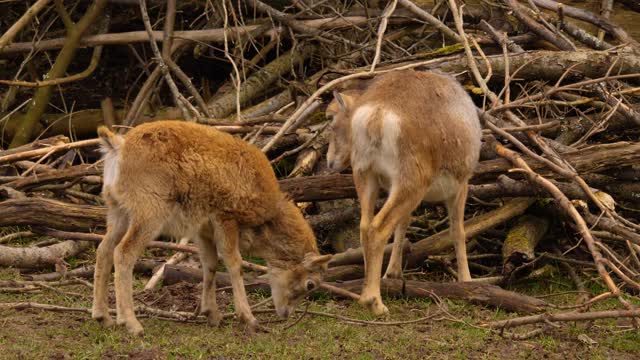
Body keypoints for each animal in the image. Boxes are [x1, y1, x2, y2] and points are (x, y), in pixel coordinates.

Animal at [92, 120, 332, 334]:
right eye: (311, 284)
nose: (286, 313)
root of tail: (117, 147)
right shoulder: (225, 218)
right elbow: (234, 262)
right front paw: (249, 319)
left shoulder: (202, 230)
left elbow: (210, 263)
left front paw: (212, 314)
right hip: (148, 213)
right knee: (123, 253)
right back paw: (131, 324)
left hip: (117, 212)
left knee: (104, 250)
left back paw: (103, 317)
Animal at [324, 69, 480, 314]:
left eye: (332, 120)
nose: (330, 162)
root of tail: (377, 115)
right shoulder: (459, 187)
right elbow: (458, 231)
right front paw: (466, 280)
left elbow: (403, 225)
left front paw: (393, 273)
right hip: (411, 183)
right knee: (378, 229)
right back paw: (375, 303)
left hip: (367, 176)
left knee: (365, 227)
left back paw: (367, 293)